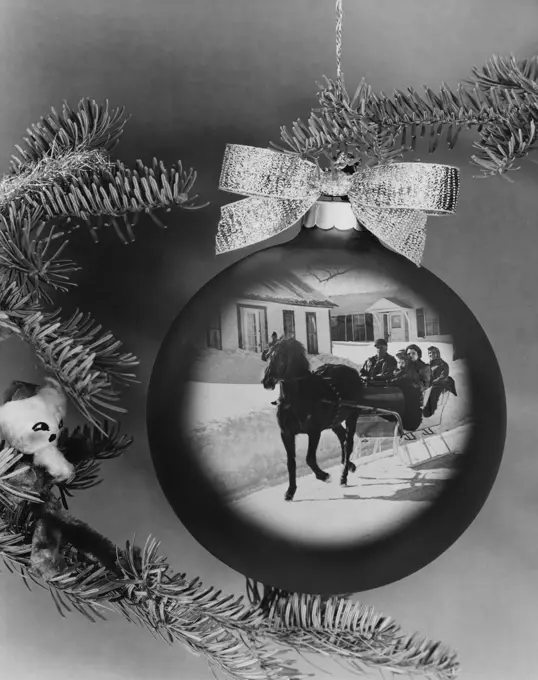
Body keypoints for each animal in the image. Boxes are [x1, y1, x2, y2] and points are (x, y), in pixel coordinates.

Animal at [260, 338, 364, 502]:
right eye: (268, 355)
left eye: (281, 356)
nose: (267, 381)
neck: (296, 398)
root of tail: (353, 372)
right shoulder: (286, 433)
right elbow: (291, 463)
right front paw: (290, 491)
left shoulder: (314, 431)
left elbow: (309, 458)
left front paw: (324, 475)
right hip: (334, 421)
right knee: (343, 438)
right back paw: (349, 465)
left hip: (352, 416)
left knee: (348, 444)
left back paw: (344, 476)